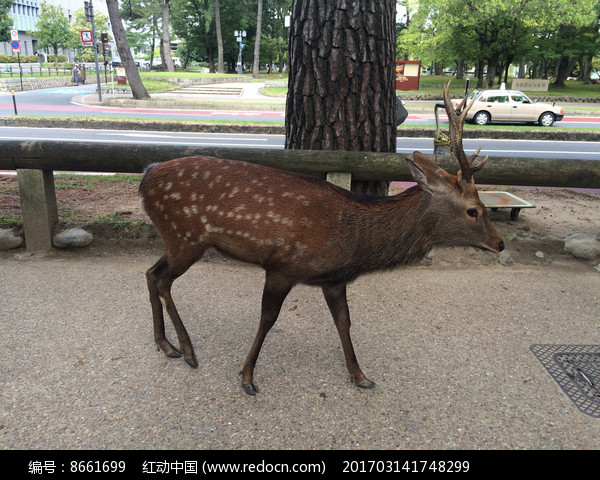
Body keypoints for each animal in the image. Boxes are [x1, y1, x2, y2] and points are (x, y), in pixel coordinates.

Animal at [139, 82, 502, 396]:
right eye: (473, 210)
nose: (499, 243)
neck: (356, 241)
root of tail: (145, 176)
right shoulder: (283, 265)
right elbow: (268, 319)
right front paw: (247, 377)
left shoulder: (333, 278)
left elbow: (344, 322)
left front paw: (360, 376)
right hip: (185, 236)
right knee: (162, 279)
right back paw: (187, 350)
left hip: (178, 238)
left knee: (151, 273)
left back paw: (166, 345)